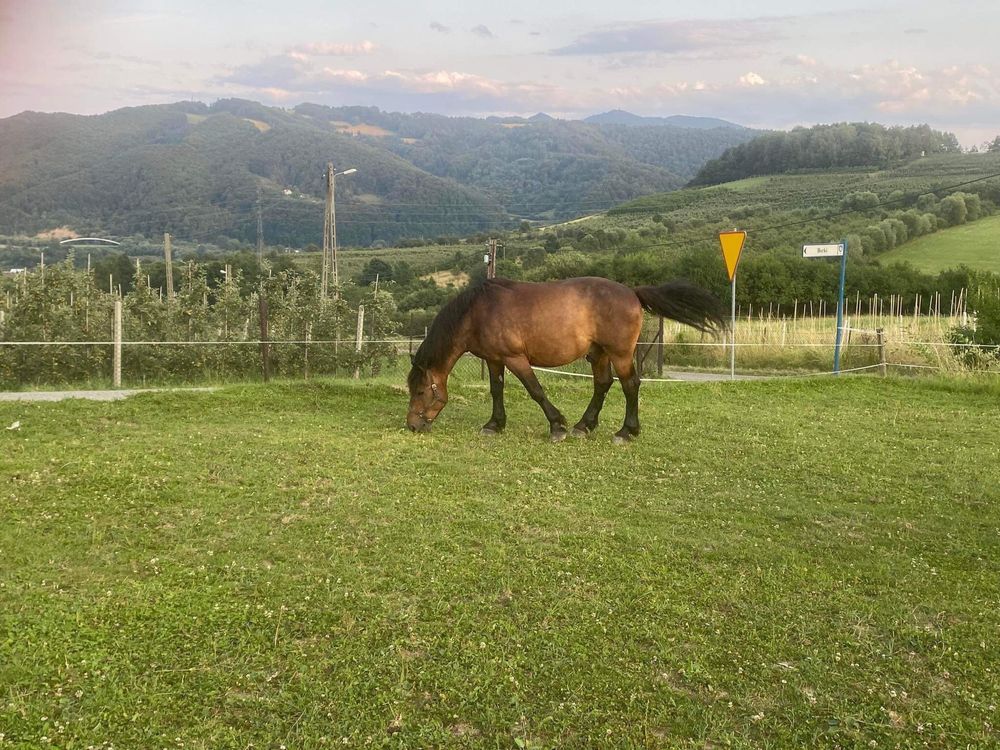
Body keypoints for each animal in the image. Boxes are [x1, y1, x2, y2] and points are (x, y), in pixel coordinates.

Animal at [406, 276, 728, 440]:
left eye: (420, 391)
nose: (412, 425)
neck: (478, 311)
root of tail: (632, 292)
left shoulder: (515, 358)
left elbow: (535, 390)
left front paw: (557, 425)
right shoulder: (496, 360)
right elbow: (496, 390)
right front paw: (494, 424)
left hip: (621, 354)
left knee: (630, 385)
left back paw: (626, 431)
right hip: (598, 354)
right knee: (602, 384)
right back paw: (584, 426)